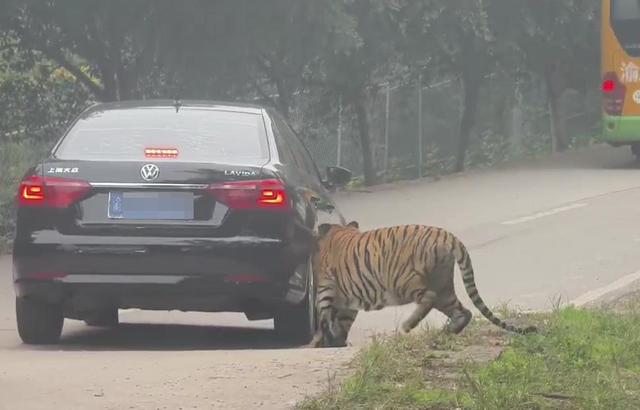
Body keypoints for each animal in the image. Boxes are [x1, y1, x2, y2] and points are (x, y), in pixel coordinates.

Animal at [308, 223, 536, 348]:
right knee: (463, 311)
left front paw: (321, 343)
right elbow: (338, 323)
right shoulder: (345, 302)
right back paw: (447, 332)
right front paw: (334, 341)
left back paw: (408, 325)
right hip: (444, 286)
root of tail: (449, 236)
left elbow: (324, 319)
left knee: (429, 297)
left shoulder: (325, 289)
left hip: (401, 280)